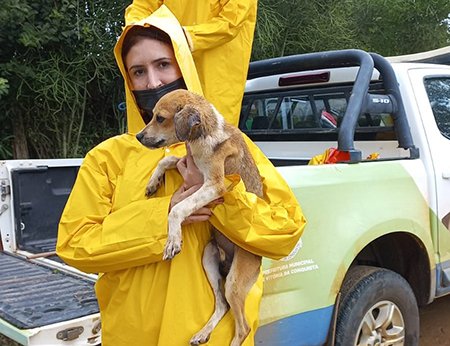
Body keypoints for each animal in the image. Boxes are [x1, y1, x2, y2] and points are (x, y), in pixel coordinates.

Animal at [137, 90, 264, 346]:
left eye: (160, 118)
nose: (138, 136)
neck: (205, 135)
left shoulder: (214, 185)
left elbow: (178, 208)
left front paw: (172, 240)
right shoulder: (188, 163)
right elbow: (166, 160)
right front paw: (153, 182)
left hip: (234, 282)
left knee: (243, 327)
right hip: (209, 257)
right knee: (222, 305)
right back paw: (203, 333)